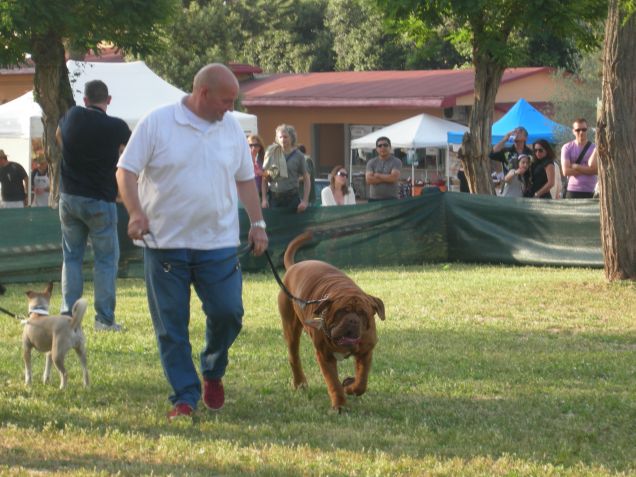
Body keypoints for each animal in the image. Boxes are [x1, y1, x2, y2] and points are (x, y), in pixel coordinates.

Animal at [278, 231, 382, 410]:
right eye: (341, 312)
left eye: (362, 313)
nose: (353, 321)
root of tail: (293, 266)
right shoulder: (324, 356)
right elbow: (333, 383)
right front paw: (339, 405)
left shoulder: (366, 351)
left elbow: (361, 381)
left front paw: (350, 386)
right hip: (290, 327)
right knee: (294, 356)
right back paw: (300, 383)